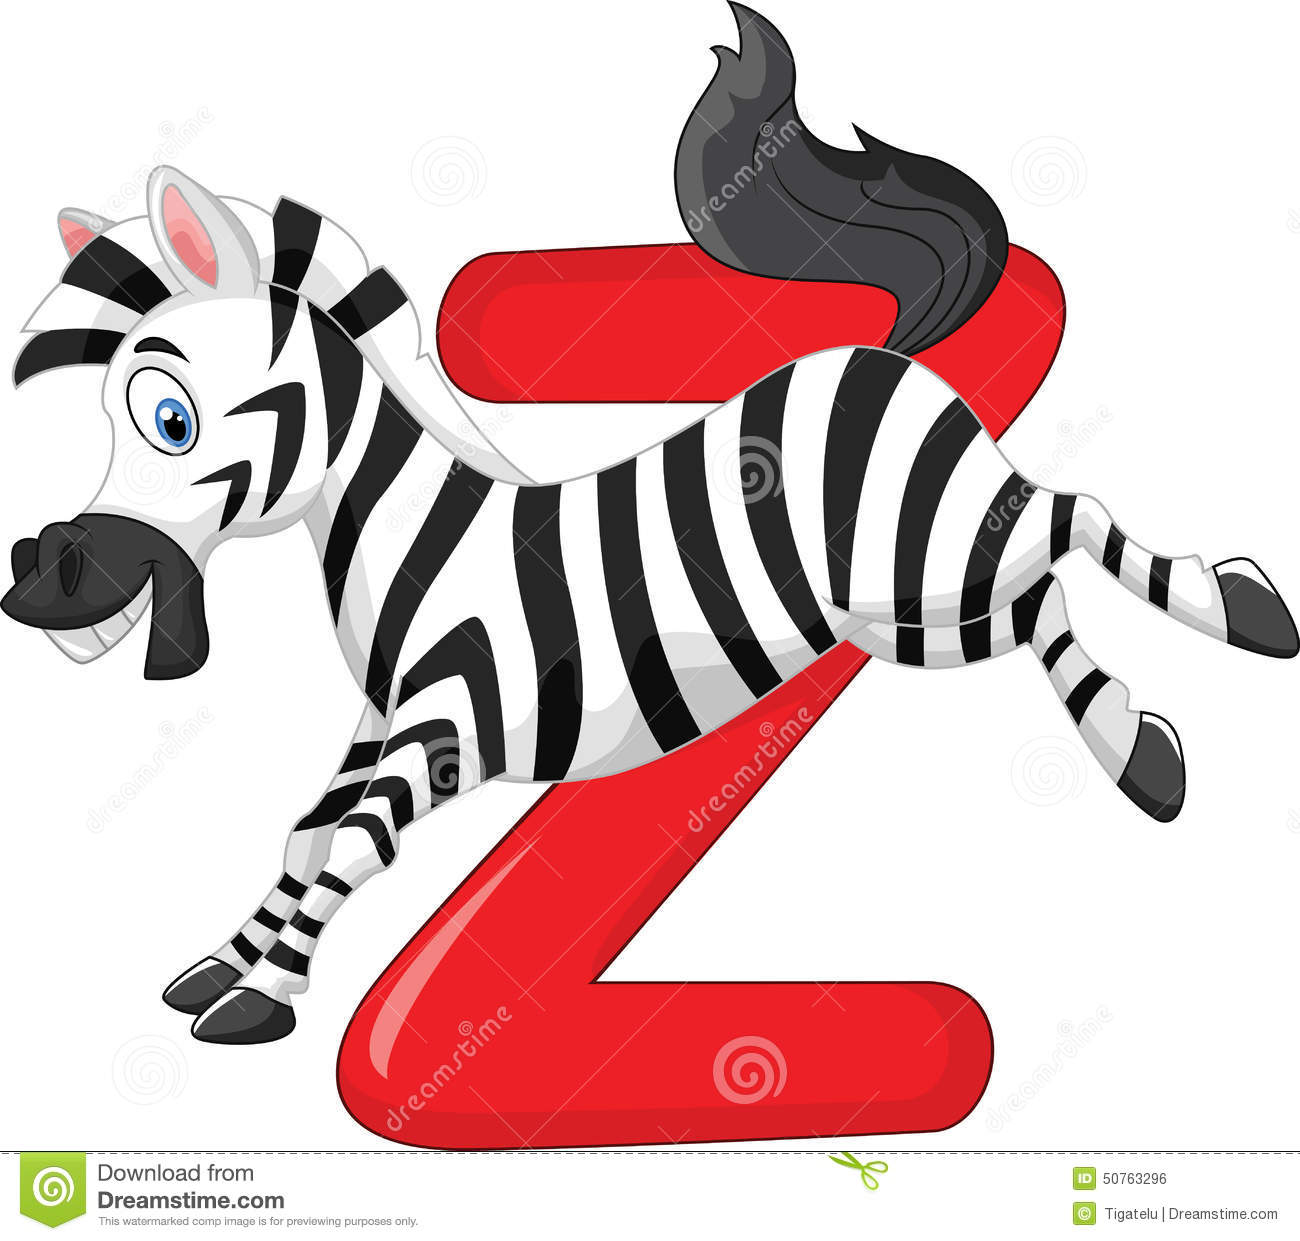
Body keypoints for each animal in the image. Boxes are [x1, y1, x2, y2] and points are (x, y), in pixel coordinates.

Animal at [5, 15, 1296, 1046]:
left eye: (168, 417)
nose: (39, 586)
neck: (414, 537)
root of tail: (872, 351)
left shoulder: (454, 726)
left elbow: (356, 842)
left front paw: (261, 997)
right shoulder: (384, 716)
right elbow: (302, 833)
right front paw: (222, 963)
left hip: (920, 571)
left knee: (1071, 518)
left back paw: (1236, 612)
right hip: (911, 609)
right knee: (1040, 587)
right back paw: (1145, 745)